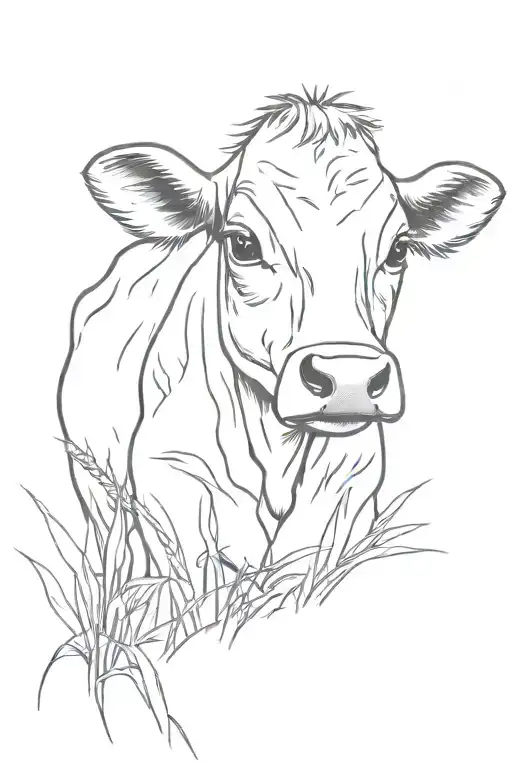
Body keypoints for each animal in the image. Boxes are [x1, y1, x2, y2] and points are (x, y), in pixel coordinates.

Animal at [59, 89, 505, 594]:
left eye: (397, 250)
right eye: (243, 244)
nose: (349, 379)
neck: (277, 447)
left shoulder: (349, 499)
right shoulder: (173, 488)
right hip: (98, 492)